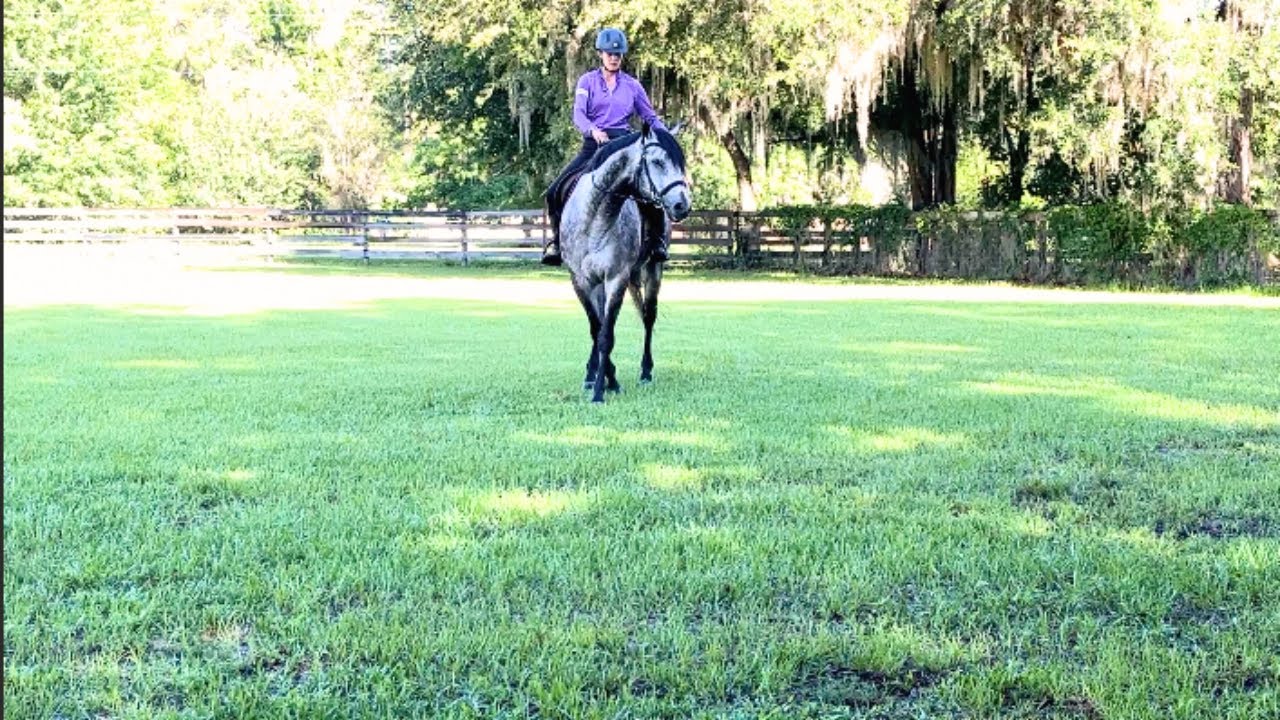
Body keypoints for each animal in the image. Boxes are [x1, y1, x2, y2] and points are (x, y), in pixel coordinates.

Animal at [558, 122, 691, 403]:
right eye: (657, 162)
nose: (682, 205)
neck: (595, 220)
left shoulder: (616, 278)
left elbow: (606, 335)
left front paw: (603, 389)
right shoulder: (581, 281)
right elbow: (597, 330)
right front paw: (604, 380)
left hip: (653, 270)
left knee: (649, 317)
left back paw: (646, 372)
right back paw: (591, 374)